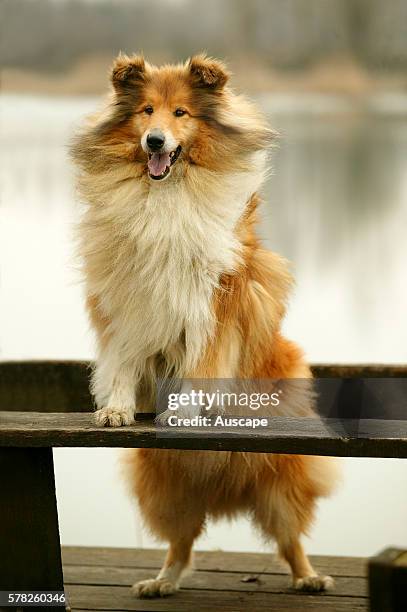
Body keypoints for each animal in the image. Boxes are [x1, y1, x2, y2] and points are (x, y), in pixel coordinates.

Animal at [71, 52, 340, 596]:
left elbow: (204, 360)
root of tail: (222, 485)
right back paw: (160, 581)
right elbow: (122, 363)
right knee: (182, 543)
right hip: (169, 492)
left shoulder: (215, 302)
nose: (154, 141)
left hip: (282, 482)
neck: (166, 192)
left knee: (291, 538)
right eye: (146, 111)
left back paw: (309, 578)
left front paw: (186, 411)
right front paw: (116, 410)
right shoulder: (125, 301)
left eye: (182, 113)